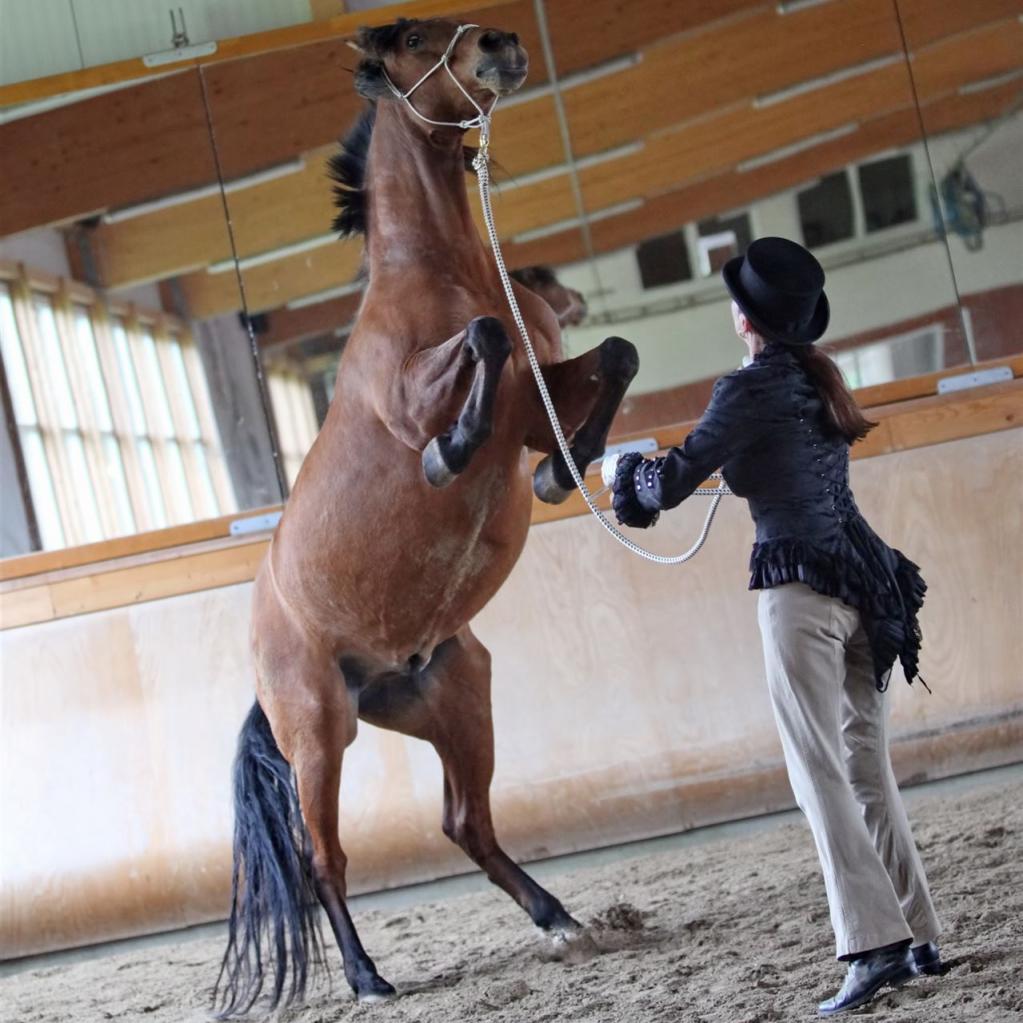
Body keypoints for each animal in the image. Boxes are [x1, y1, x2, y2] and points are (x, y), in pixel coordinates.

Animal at [215, 17, 639, 1015]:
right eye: (409, 40)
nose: (500, 44)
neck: (446, 272)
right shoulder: (425, 394)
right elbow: (481, 348)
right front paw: (453, 454)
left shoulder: (537, 396)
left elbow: (613, 353)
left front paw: (564, 470)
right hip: (316, 733)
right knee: (323, 858)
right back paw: (369, 977)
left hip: (457, 691)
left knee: (463, 821)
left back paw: (561, 919)